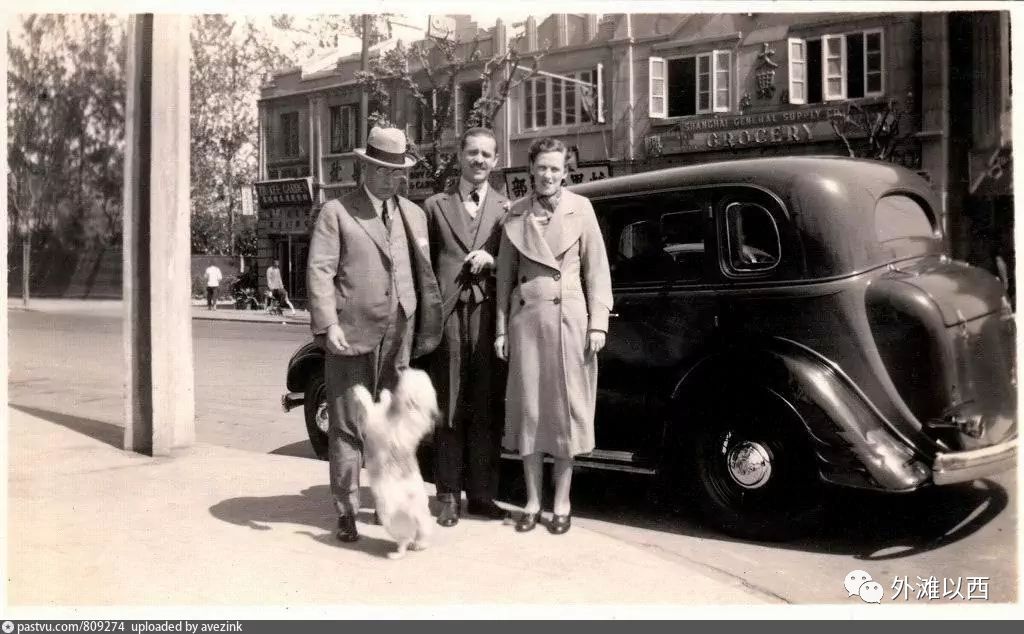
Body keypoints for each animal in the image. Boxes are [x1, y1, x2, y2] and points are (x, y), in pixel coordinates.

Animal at [351, 369, 439, 559]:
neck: (400, 416)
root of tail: (415, 511)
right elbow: (382, 401)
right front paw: (385, 394)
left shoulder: (373, 419)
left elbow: (368, 402)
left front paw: (360, 391)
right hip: (423, 523)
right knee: (421, 537)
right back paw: (418, 545)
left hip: (390, 520)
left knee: (403, 542)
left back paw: (396, 554)